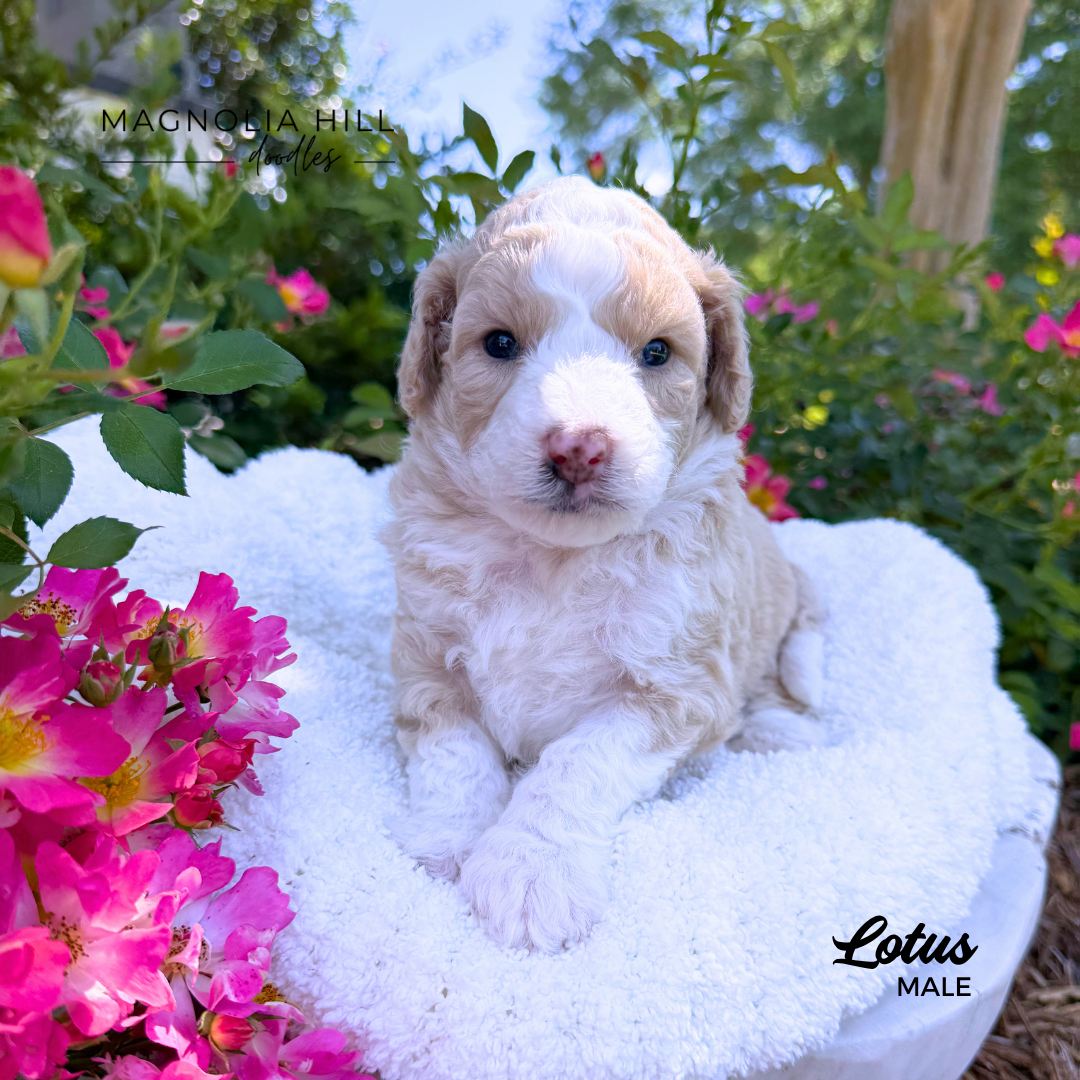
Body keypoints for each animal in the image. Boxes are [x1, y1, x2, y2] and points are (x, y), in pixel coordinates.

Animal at [384, 176, 824, 952]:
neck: (552, 559)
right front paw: (445, 841)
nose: (578, 448)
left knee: (780, 684)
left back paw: (782, 730)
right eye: (500, 343)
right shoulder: (426, 658)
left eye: (656, 353)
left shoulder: (675, 689)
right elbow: (455, 755)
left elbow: (574, 767)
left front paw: (532, 872)